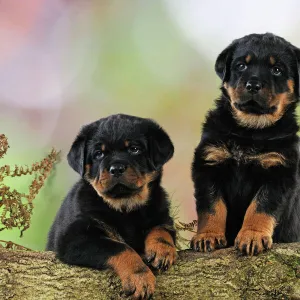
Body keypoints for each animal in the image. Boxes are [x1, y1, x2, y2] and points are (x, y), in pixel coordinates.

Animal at [47, 113, 177, 298]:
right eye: (98, 154)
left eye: (134, 149)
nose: (116, 168)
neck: (125, 207)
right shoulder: (73, 238)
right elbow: (120, 248)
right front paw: (140, 278)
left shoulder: (163, 215)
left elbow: (161, 228)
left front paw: (162, 249)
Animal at [191, 34, 300, 256]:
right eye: (241, 65)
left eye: (277, 69)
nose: (253, 85)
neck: (250, 131)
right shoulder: (208, 164)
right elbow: (212, 207)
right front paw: (208, 236)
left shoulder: (279, 172)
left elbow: (260, 207)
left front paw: (252, 237)